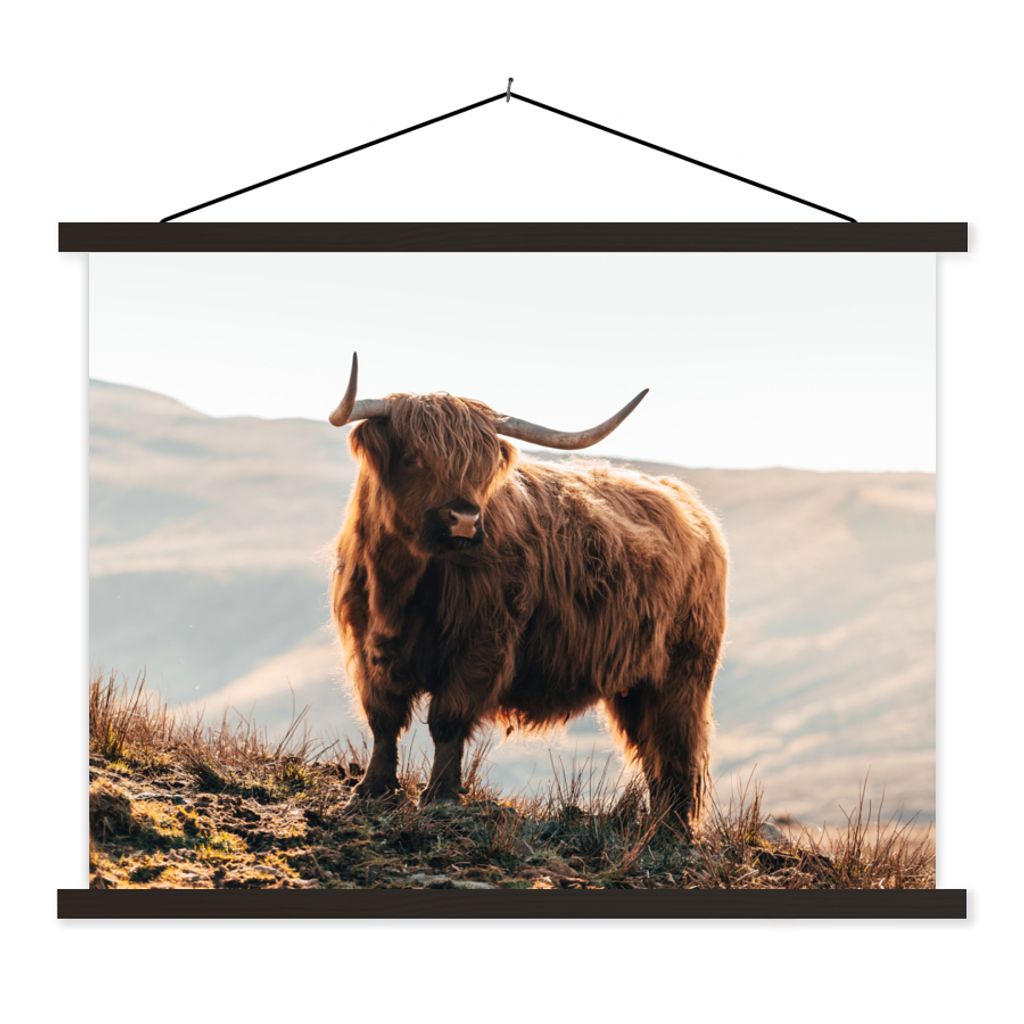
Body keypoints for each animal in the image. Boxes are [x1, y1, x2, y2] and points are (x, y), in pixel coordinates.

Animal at [329, 354, 728, 830]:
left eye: (481, 468)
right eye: (414, 458)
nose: (465, 519)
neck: (400, 584)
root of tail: (688, 503)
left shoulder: (481, 643)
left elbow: (447, 720)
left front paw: (441, 795)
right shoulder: (367, 644)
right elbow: (383, 718)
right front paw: (371, 789)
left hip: (682, 672)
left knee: (675, 745)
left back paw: (672, 828)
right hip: (635, 683)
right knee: (651, 748)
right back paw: (656, 824)